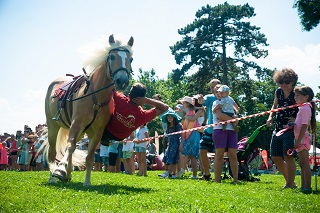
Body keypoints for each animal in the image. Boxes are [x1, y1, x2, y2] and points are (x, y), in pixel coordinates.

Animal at [44, 34, 133, 186]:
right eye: (112, 57)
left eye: (131, 59)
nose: (122, 81)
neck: (96, 97)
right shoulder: (76, 124)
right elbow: (70, 147)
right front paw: (60, 170)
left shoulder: (96, 132)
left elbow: (90, 157)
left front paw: (87, 182)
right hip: (53, 127)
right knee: (53, 153)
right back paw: (53, 176)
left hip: (80, 132)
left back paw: (67, 173)